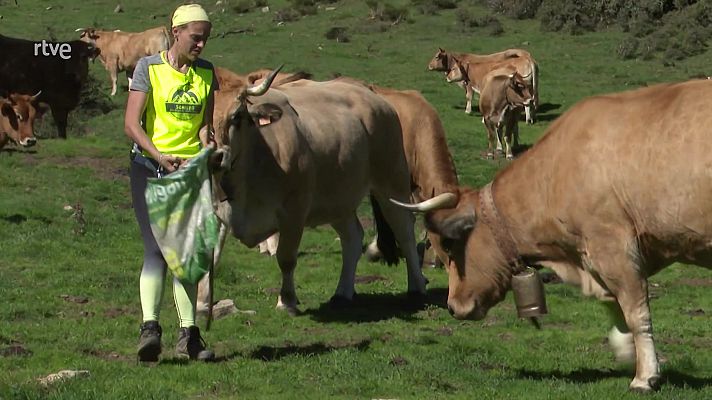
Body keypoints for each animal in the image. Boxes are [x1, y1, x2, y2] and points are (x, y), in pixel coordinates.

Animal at [209, 69, 426, 312]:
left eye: (236, 116)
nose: (216, 157)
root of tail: (376, 99)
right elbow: (211, 259)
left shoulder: (294, 211)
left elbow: (286, 258)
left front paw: (287, 301)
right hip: (338, 199)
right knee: (352, 238)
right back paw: (342, 292)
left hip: (391, 183)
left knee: (405, 230)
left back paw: (417, 285)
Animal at [392, 77, 712, 390]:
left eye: (449, 244)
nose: (452, 306)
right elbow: (613, 305)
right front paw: (625, 350)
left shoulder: (614, 248)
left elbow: (635, 313)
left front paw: (645, 376)